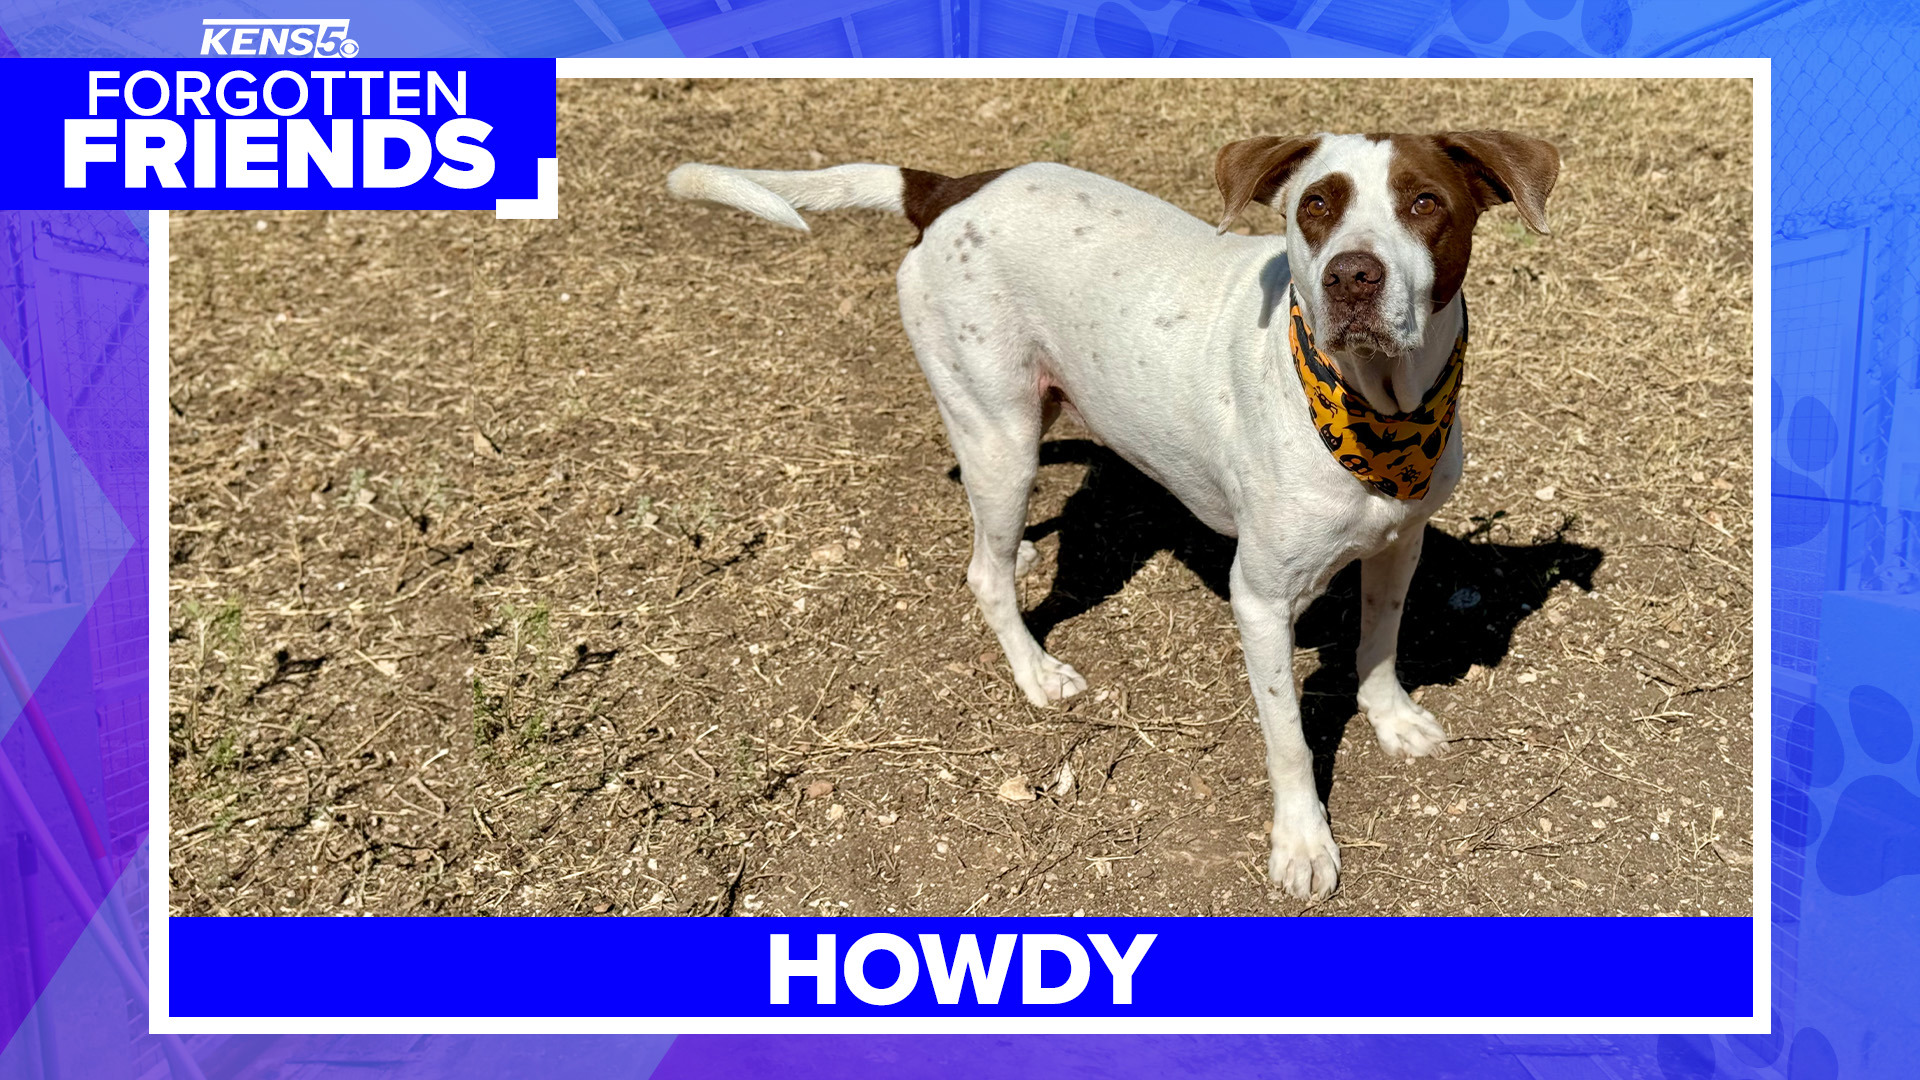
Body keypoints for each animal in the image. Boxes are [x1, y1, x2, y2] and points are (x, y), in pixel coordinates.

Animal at [672, 130, 1559, 895]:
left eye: (1425, 202)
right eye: (1316, 205)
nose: (1351, 276)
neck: (1380, 418)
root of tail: (953, 187)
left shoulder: (1400, 540)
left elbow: (1379, 641)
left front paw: (1391, 719)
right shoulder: (1260, 600)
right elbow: (1289, 742)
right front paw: (1303, 842)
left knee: (996, 544)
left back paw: (1025, 559)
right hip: (1001, 433)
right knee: (982, 571)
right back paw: (1035, 670)